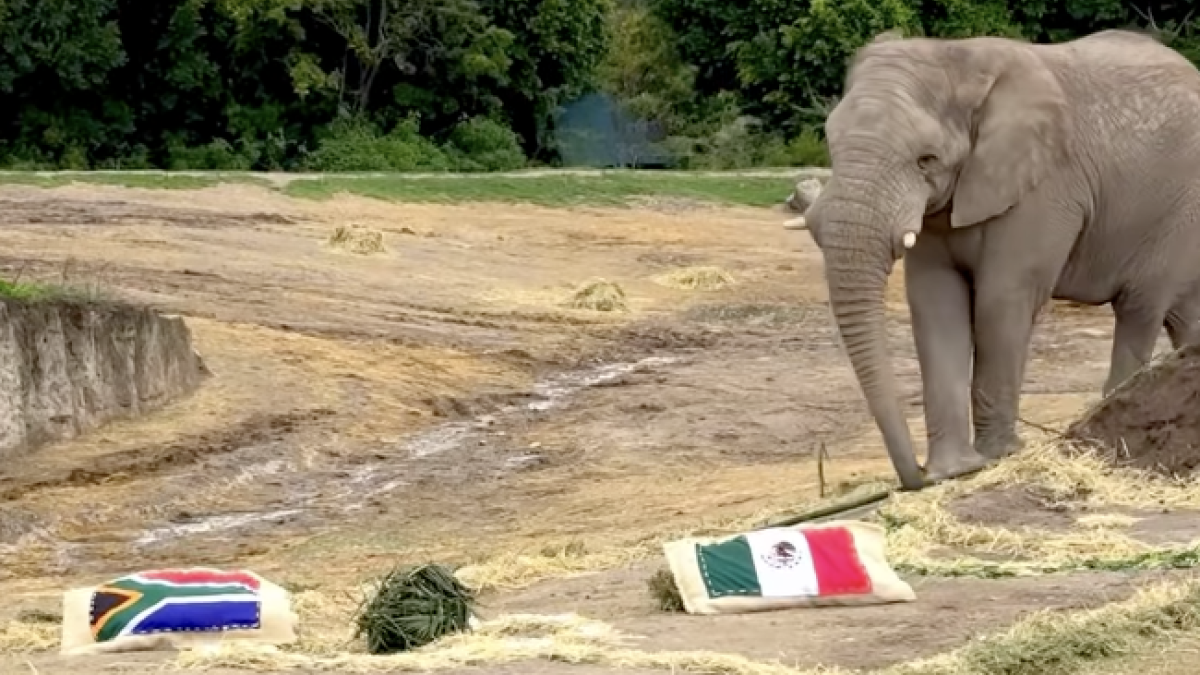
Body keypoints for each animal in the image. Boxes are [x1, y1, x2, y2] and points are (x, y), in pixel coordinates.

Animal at [798, 29, 1200, 491]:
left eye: (926, 160)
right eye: (831, 145)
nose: (916, 475)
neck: (956, 56)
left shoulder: (1044, 186)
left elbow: (1001, 301)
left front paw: (995, 458)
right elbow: (935, 304)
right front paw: (955, 470)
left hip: (1178, 212)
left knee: (1140, 307)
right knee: (1181, 314)